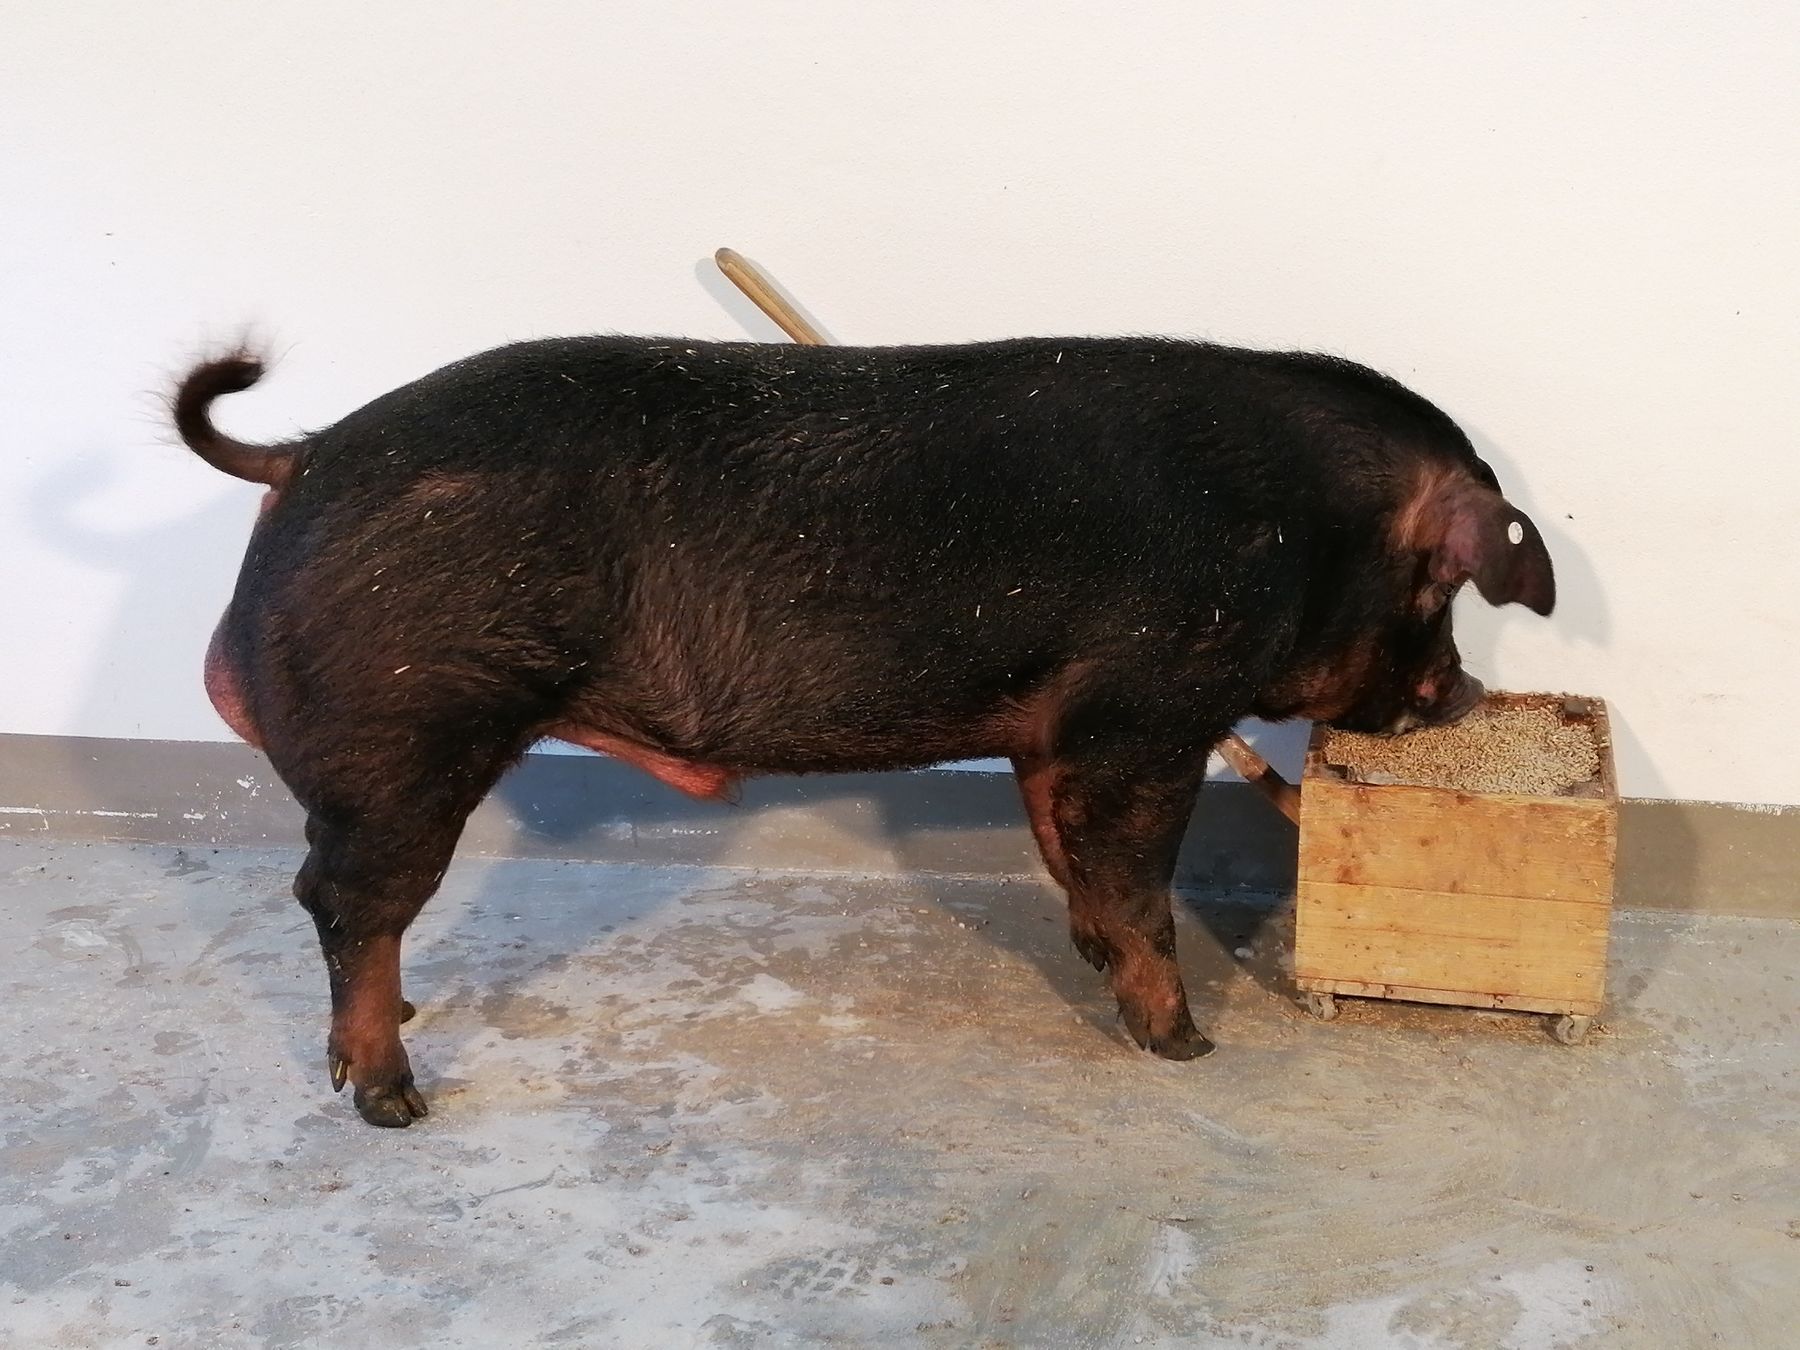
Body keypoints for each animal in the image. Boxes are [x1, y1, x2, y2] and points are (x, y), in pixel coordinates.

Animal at [174, 335, 1555, 1127]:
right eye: (1440, 585)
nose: (1461, 697)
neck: (1300, 526)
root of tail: (304, 455)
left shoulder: (1050, 729)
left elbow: (1068, 855)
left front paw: (1093, 964)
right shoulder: (1147, 710)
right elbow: (1139, 879)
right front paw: (1184, 1044)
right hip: (408, 732)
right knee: (343, 899)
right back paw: (393, 1098)